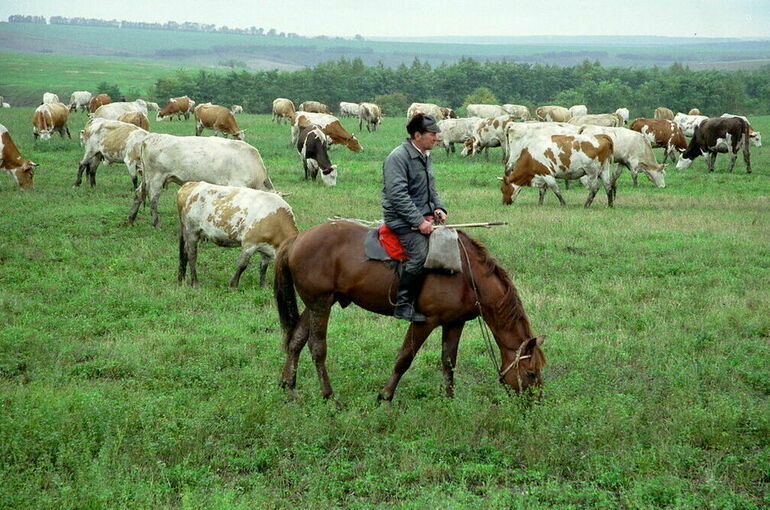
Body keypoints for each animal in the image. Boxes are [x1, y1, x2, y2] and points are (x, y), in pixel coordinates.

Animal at [128, 134, 276, 226]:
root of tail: (150, 138)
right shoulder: (236, 184)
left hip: (147, 177)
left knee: (139, 193)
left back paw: (131, 220)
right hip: (156, 178)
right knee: (153, 200)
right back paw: (156, 223)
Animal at [272, 221, 544, 400]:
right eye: (531, 373)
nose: (535, 403)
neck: (466, 275)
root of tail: (297, 239)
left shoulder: (454, 323)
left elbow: (449, 362)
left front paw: (449, 400)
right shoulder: (425, 322)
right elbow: (404, 358)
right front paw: (385, 396)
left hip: (316, 304)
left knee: (296, 340)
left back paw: (289, 386)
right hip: (320, 304)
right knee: (317, 348)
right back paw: (329, 396)